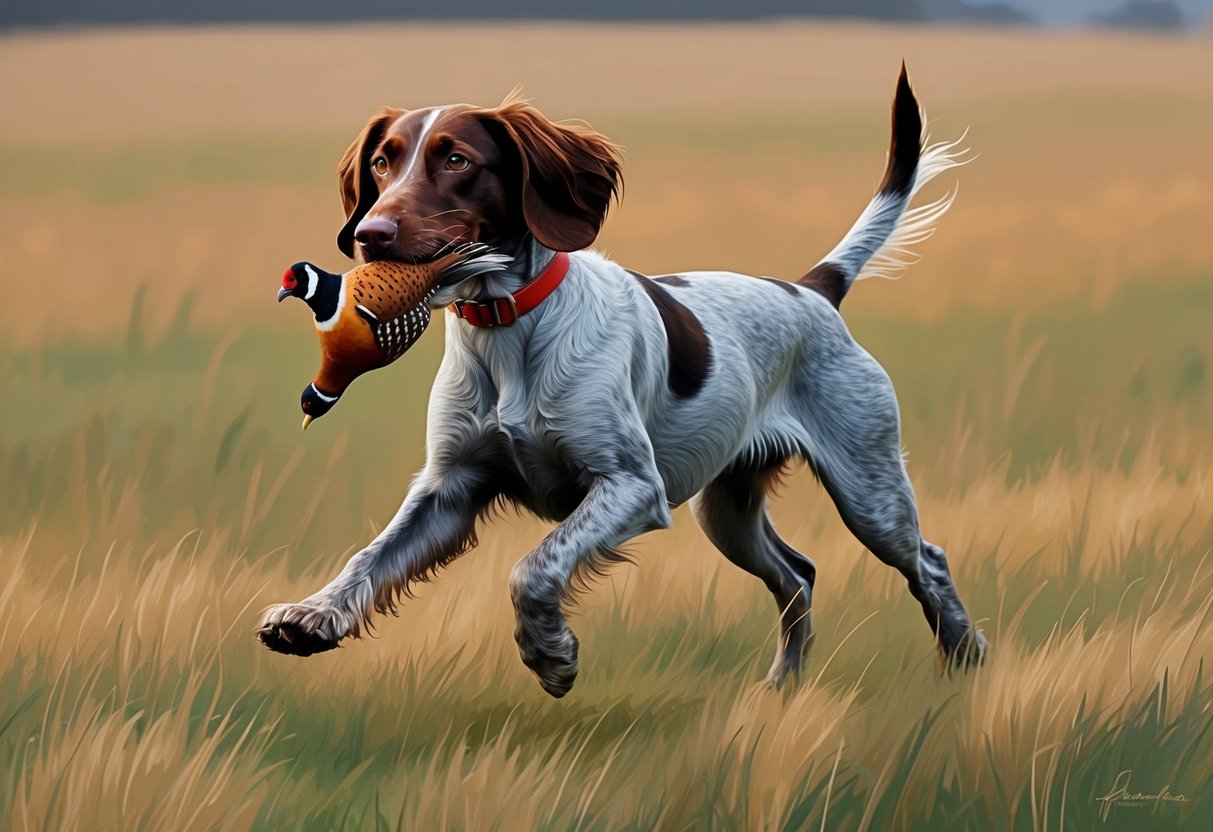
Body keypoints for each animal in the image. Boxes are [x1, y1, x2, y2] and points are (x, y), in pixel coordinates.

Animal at [255, 65, 984, 698]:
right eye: (383, 162)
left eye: (457, 160)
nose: (370, 235)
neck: (507, 327)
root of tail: (812, 290)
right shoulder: (448, 489)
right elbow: (371, 556)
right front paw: (312, 615)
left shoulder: (631, 486)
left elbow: (534, 567)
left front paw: (550, 655)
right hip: (728, 509)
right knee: (797, 575)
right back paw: (781, 689)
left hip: (868, 489)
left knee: (927, 561)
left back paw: (964, 660)